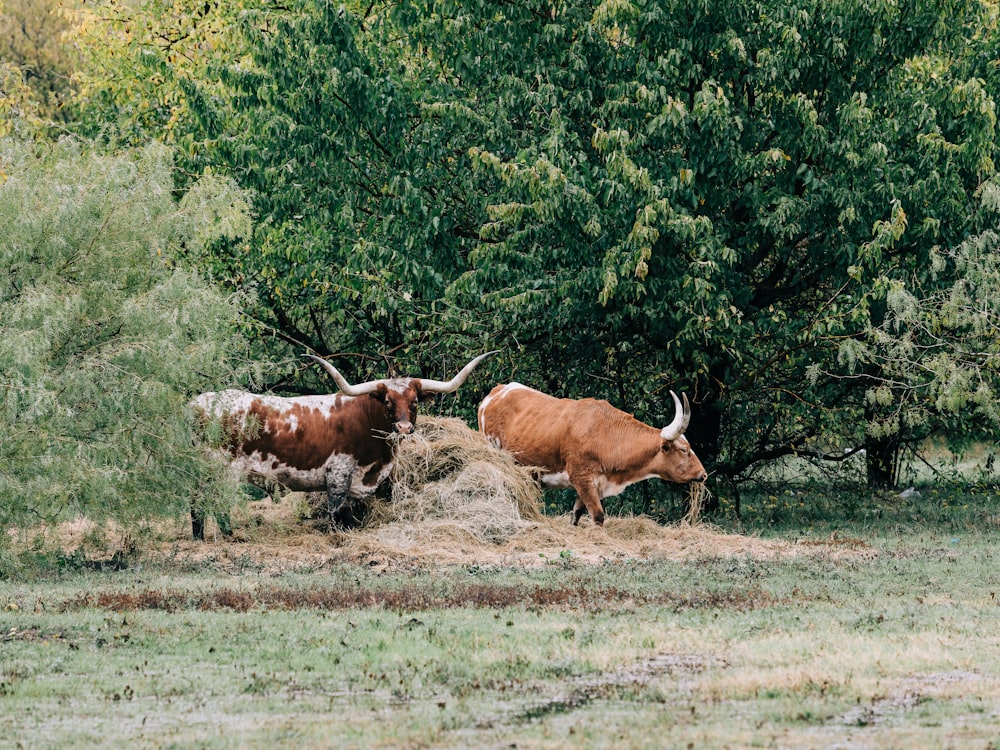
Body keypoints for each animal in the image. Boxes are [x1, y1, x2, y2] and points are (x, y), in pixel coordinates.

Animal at [189, 352, 494, 540]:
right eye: (387, 402)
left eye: (415, 401)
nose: (404, 427)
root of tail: (197, 403)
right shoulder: (338, 473)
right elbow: (336, 512)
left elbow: (350, 514)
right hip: (221, 469)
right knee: (215, 503)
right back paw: (230, 536)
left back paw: (199, 537)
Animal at [478, 384, 708, 524]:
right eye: (684, 450)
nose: (703, 474)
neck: (605, 434)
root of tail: (498, 391)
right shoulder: (582, 478)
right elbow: (597, 515)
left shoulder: (594, 484)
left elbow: (577, 513)